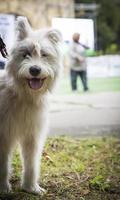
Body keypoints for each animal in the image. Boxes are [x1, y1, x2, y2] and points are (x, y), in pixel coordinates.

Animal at [0, 16, 62, 194]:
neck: (23, 96)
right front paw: (4, 189)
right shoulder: (3, 136)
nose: (35, 70)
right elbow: (3, 165)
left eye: (44, 54)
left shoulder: (32, 136)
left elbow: (31, 163)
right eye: (26, 54)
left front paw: (31, 187)